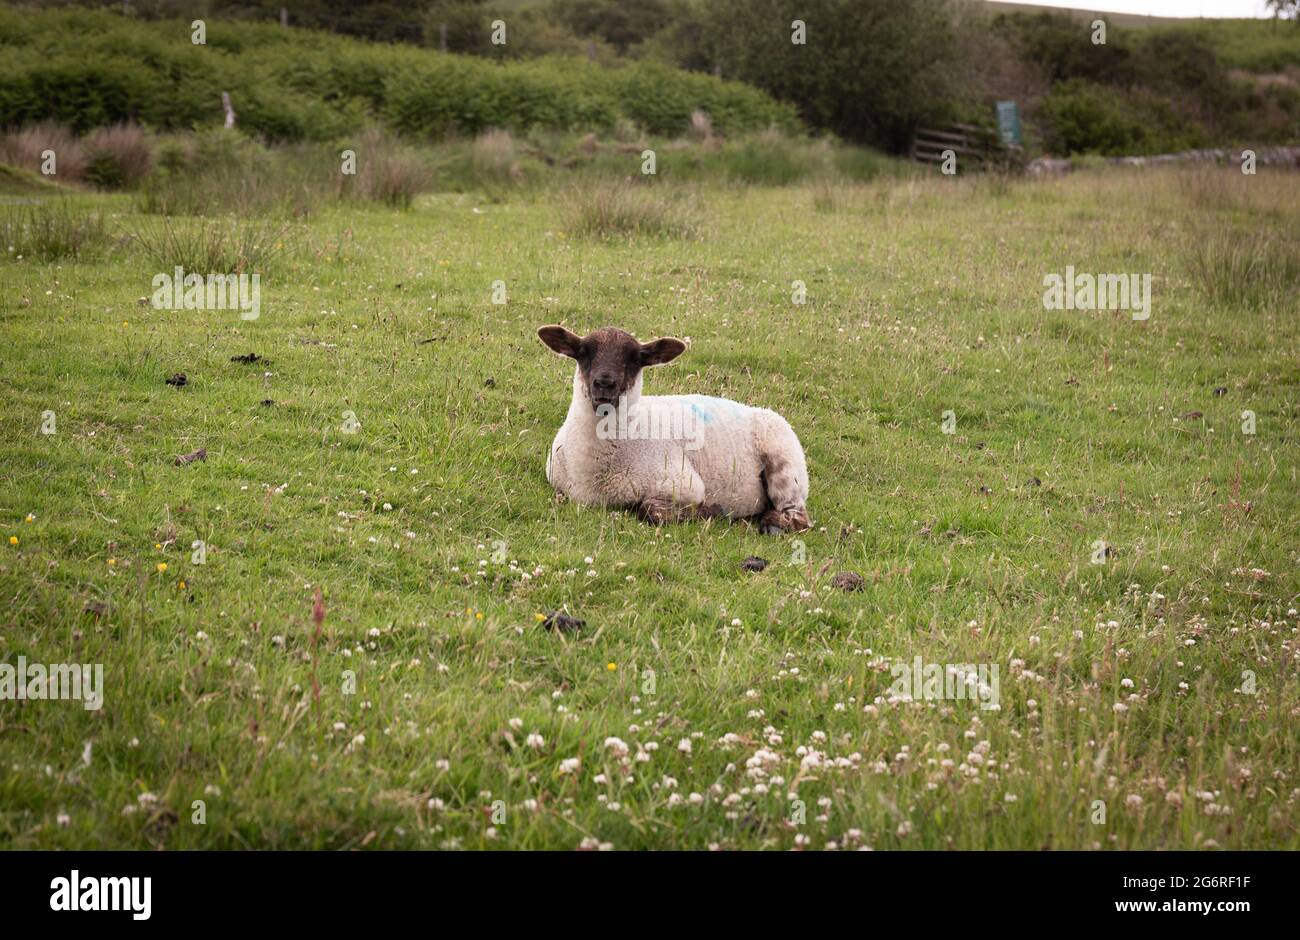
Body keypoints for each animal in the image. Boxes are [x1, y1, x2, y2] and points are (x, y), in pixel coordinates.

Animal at [537, 325, 811, 533]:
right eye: (583, 352)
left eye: (636, 358)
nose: (605, 383)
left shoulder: (685, 485)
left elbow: (650, 511)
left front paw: (709, 511)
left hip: (785, 460)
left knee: (798, 517)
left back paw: (770, 522)